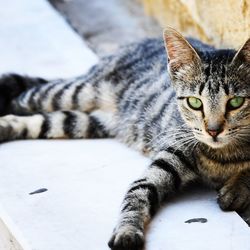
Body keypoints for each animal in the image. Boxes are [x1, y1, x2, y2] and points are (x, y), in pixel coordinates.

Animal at [0, 27, 250, 250]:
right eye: (195, 102)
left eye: (236, 102)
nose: (213, 131)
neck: (223, 156)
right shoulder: (166, 159)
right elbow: (137, 194)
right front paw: (127, 231)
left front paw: (236, 188)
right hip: (69, 94)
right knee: (24, 96)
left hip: (86, 123)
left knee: (42, 120)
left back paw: (6, 127)